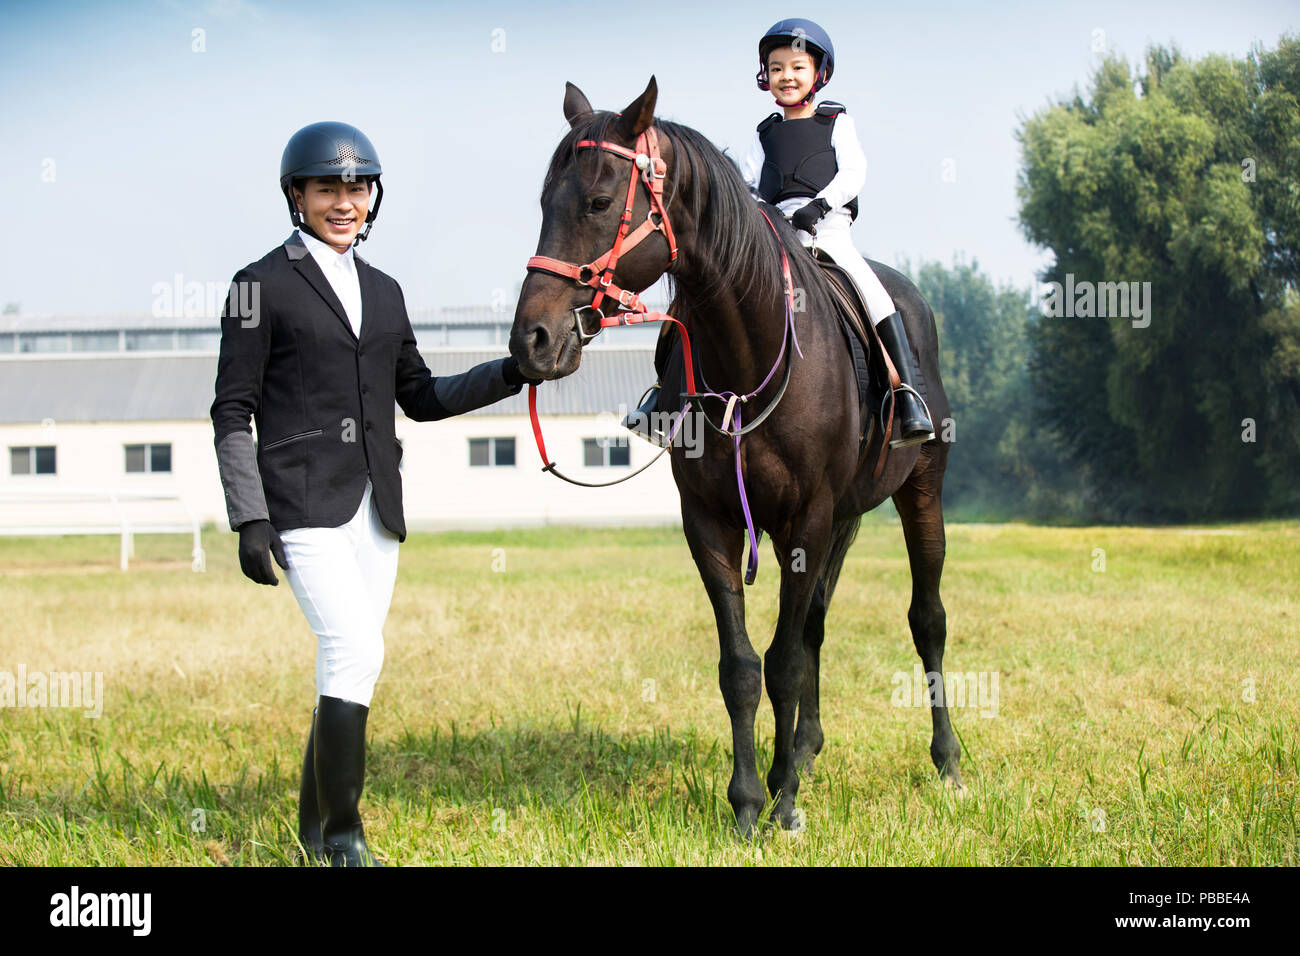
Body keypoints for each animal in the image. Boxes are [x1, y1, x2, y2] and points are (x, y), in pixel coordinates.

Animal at [512, 78, 961, 832]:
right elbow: (745, 666)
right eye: (545, 203)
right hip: (844, 519)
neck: (751, 353)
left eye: (598, 202)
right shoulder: (713, 523)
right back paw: (805, 747)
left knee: (926, 619)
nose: (532, 340)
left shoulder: (806, 522)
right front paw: (751, 797)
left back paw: (948, 760)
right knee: (815, 628)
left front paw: (783, 801)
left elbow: (782, 662)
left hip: (919, 493)